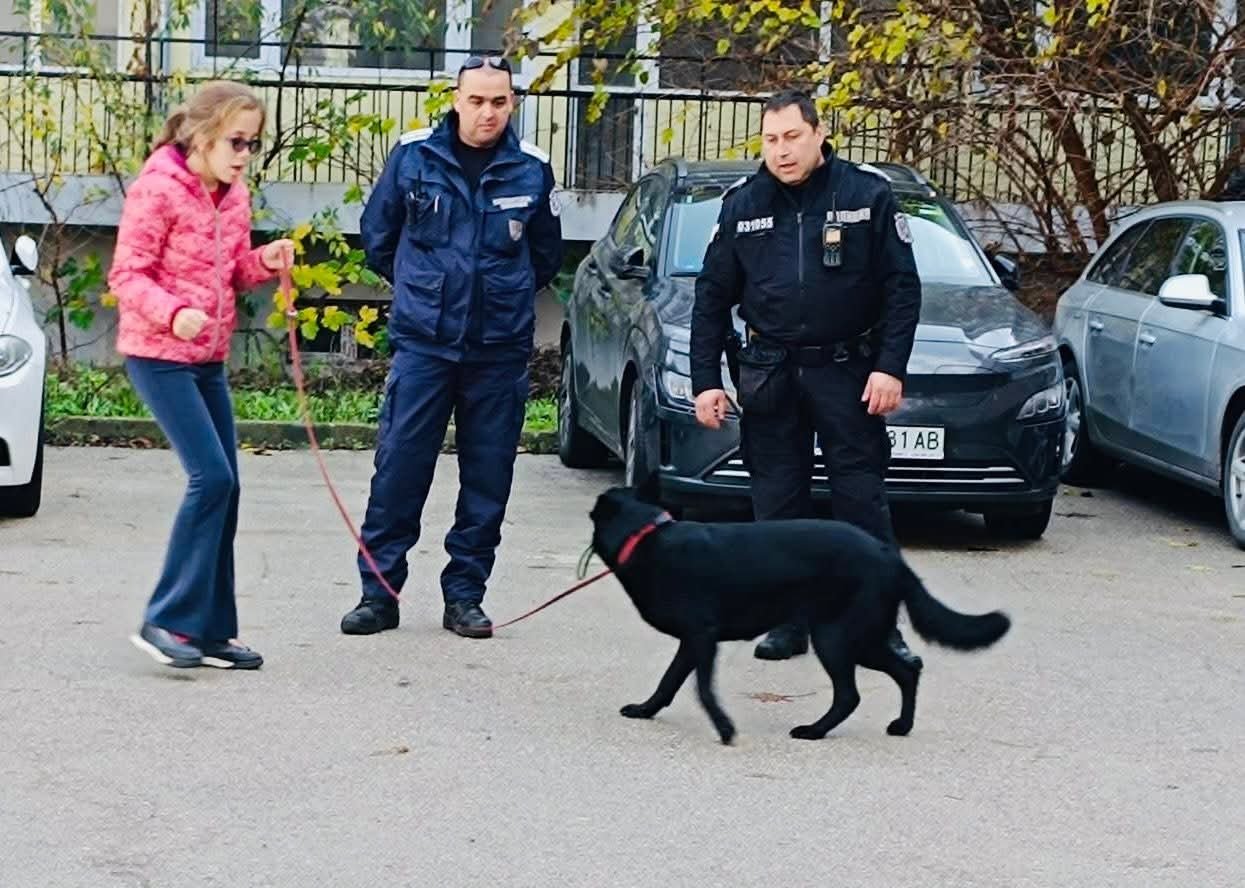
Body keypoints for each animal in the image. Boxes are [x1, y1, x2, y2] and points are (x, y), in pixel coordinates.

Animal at [589, 487, 1010, 744]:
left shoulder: (701, 637)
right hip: (863, 638)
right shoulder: (692, 642)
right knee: (907, 671)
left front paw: (724, 727)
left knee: (851, 695)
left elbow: (702, 688)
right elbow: (670, 680)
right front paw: (645, 710)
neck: (645, 538)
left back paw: (814, 731)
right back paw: (901, 726)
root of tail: (889, 556)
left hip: (837, 637)